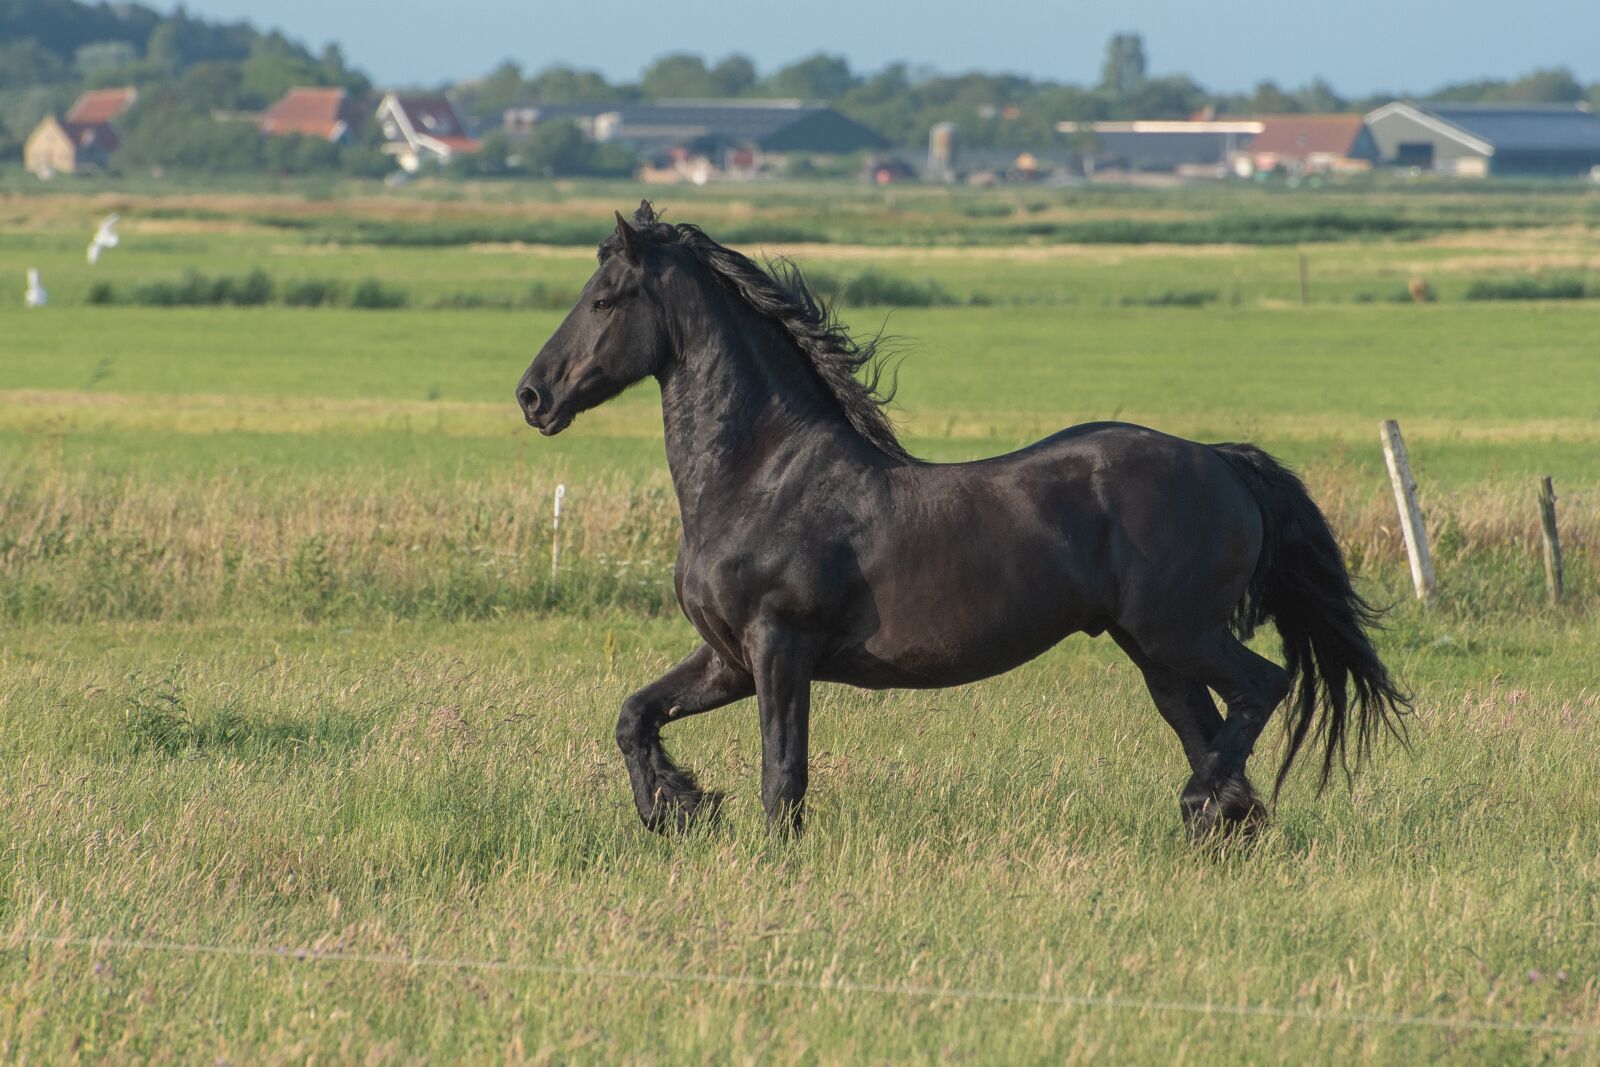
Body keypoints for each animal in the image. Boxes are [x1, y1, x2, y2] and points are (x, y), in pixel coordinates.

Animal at [515, 202, 1408, 840]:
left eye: (604, 299)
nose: (532, 395)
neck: (760, 475)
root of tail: (1223, 462)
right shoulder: (730, 657)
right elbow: (635, 715)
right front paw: (675, 806)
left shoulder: (779, 647)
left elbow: (783, 776)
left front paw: (737, 832)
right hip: (1154, 651)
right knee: (1213, 730)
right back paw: (1225, 821)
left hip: (1177, 632)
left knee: (1264, 687)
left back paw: (1202, 805)